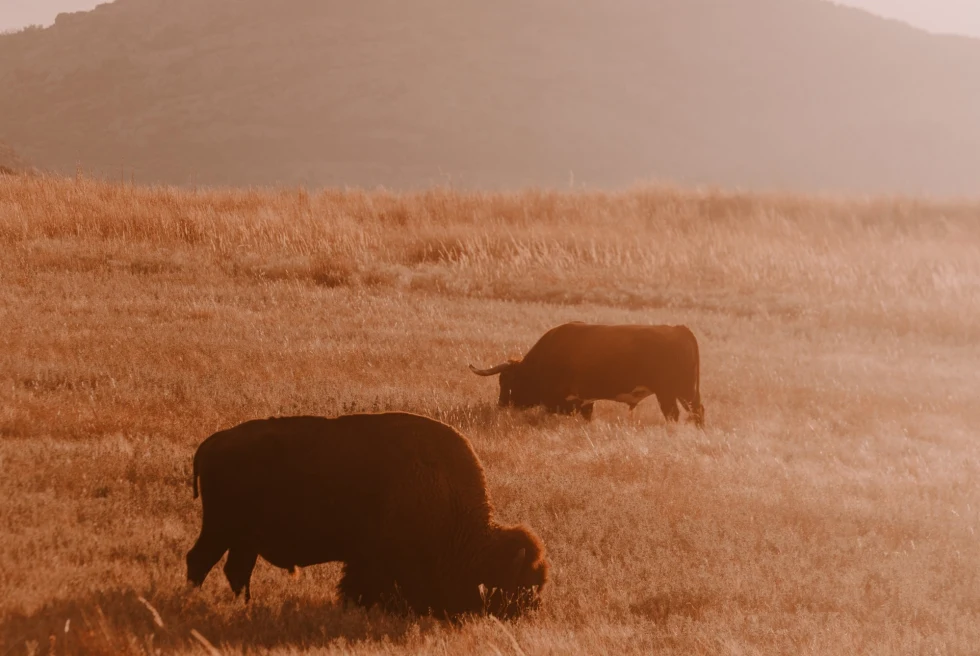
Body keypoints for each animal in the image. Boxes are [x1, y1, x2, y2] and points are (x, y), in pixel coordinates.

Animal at [188, 412, 548, 616]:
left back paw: (243, 606)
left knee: (235, 570)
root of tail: (212, 443)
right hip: (220, 529)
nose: (527, 613)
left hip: (243, 539)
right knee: (199, 560)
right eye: (517, 585)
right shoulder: (381, 558)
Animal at [468, 322, 704, 426]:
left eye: (507, 381)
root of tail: (679, 329)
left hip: (674, 392)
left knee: (678, 414)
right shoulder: (583, 401)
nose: (501, 405)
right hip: (683, 392)